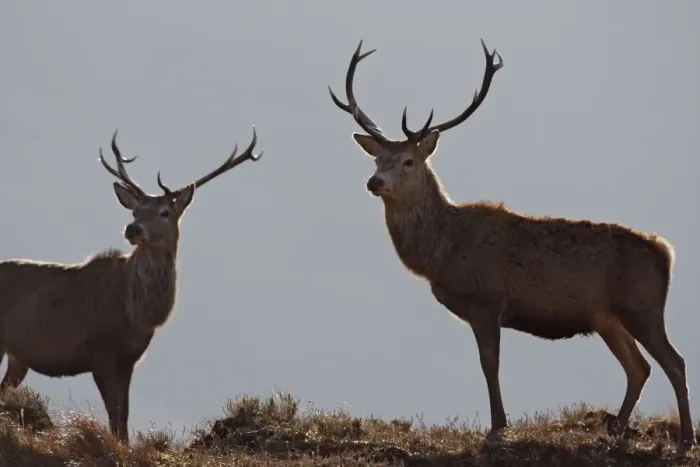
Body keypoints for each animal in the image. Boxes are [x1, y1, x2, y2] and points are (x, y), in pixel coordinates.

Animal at [0, 127, 262, 443]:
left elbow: (123, 414)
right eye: (136, 211)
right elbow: (113, 412)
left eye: (165, 212)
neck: (136, 313)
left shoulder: (130, 358)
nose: (132, 228)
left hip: (18, 356)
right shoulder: (97, 347)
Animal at [329, 39, 695, 452]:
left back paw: (684, 439)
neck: (443, 252)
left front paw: (498, 427)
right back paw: (616, 430)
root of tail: (665, 253)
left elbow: (490, 364)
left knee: (674, 362)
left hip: (643, 305)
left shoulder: (488, 299)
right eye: (377, 158)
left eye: (407, 160)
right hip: (607, 317)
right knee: (639, 367)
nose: (374, 182)